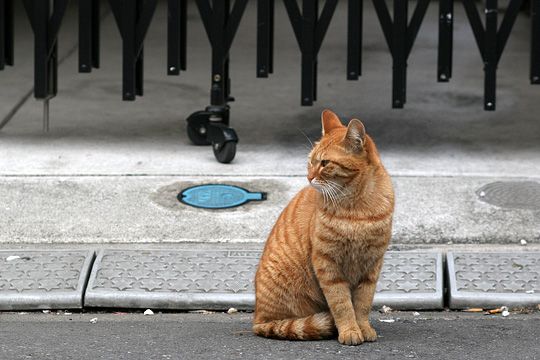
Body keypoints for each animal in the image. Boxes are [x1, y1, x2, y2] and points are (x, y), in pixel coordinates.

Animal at [251, 109, 394, 346]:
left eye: (325, 163)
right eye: (310, 162)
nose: (309, 177)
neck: (357, 207)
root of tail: (256, 318)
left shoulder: (372, 266)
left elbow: (362, 304)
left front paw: (363, 328)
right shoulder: (327, 265)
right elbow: (342, 304)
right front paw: (350, 330)